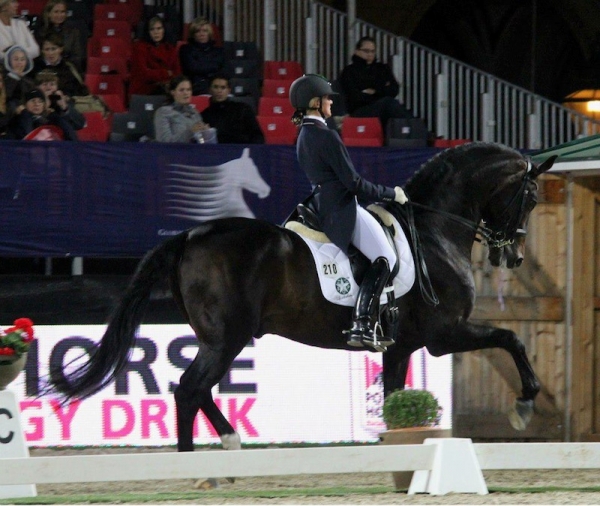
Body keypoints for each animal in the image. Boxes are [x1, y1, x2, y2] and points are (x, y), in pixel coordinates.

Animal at [49, 141, 556, 450]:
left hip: (220, 339)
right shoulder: (444, 334)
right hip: (227, 338)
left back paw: (228, 442)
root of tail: (191, 235)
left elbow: (397, 398)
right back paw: (196, 460)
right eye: (530, 198)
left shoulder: (401, 346)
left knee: (198, 389)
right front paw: (524, 406)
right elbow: (511, 339)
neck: (433, 230)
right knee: (190, 389)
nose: (514, 256)